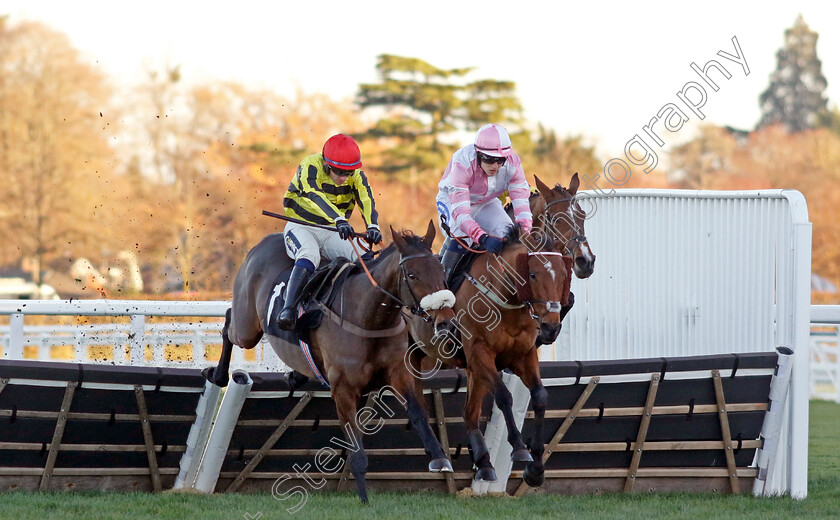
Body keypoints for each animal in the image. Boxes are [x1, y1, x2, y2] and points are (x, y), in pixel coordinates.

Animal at [207, 220, 456, 504]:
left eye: (441, 269)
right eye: (412, 275)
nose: (445, 320)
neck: (369, 318)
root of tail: (263, 242)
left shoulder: (399, 375)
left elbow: (417, 413)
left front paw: (439, 457)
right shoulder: (343, 390)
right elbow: (355, 447)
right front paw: (364, 498)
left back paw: (296, 375)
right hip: (247, 328)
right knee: (229, 321)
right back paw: (218, 375)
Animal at [406, 226, 572, 488]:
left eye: (564, 273)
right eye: (532, 274)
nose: (551, 328)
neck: (505, 299)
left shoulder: (522, 356)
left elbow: (540, 396)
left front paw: (535, 469)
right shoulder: (479, 353)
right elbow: (504, 397)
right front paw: (519, 448)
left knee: (470, 413)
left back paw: (484, 463)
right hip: (417, 358)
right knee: (417, 404)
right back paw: (437, 456)